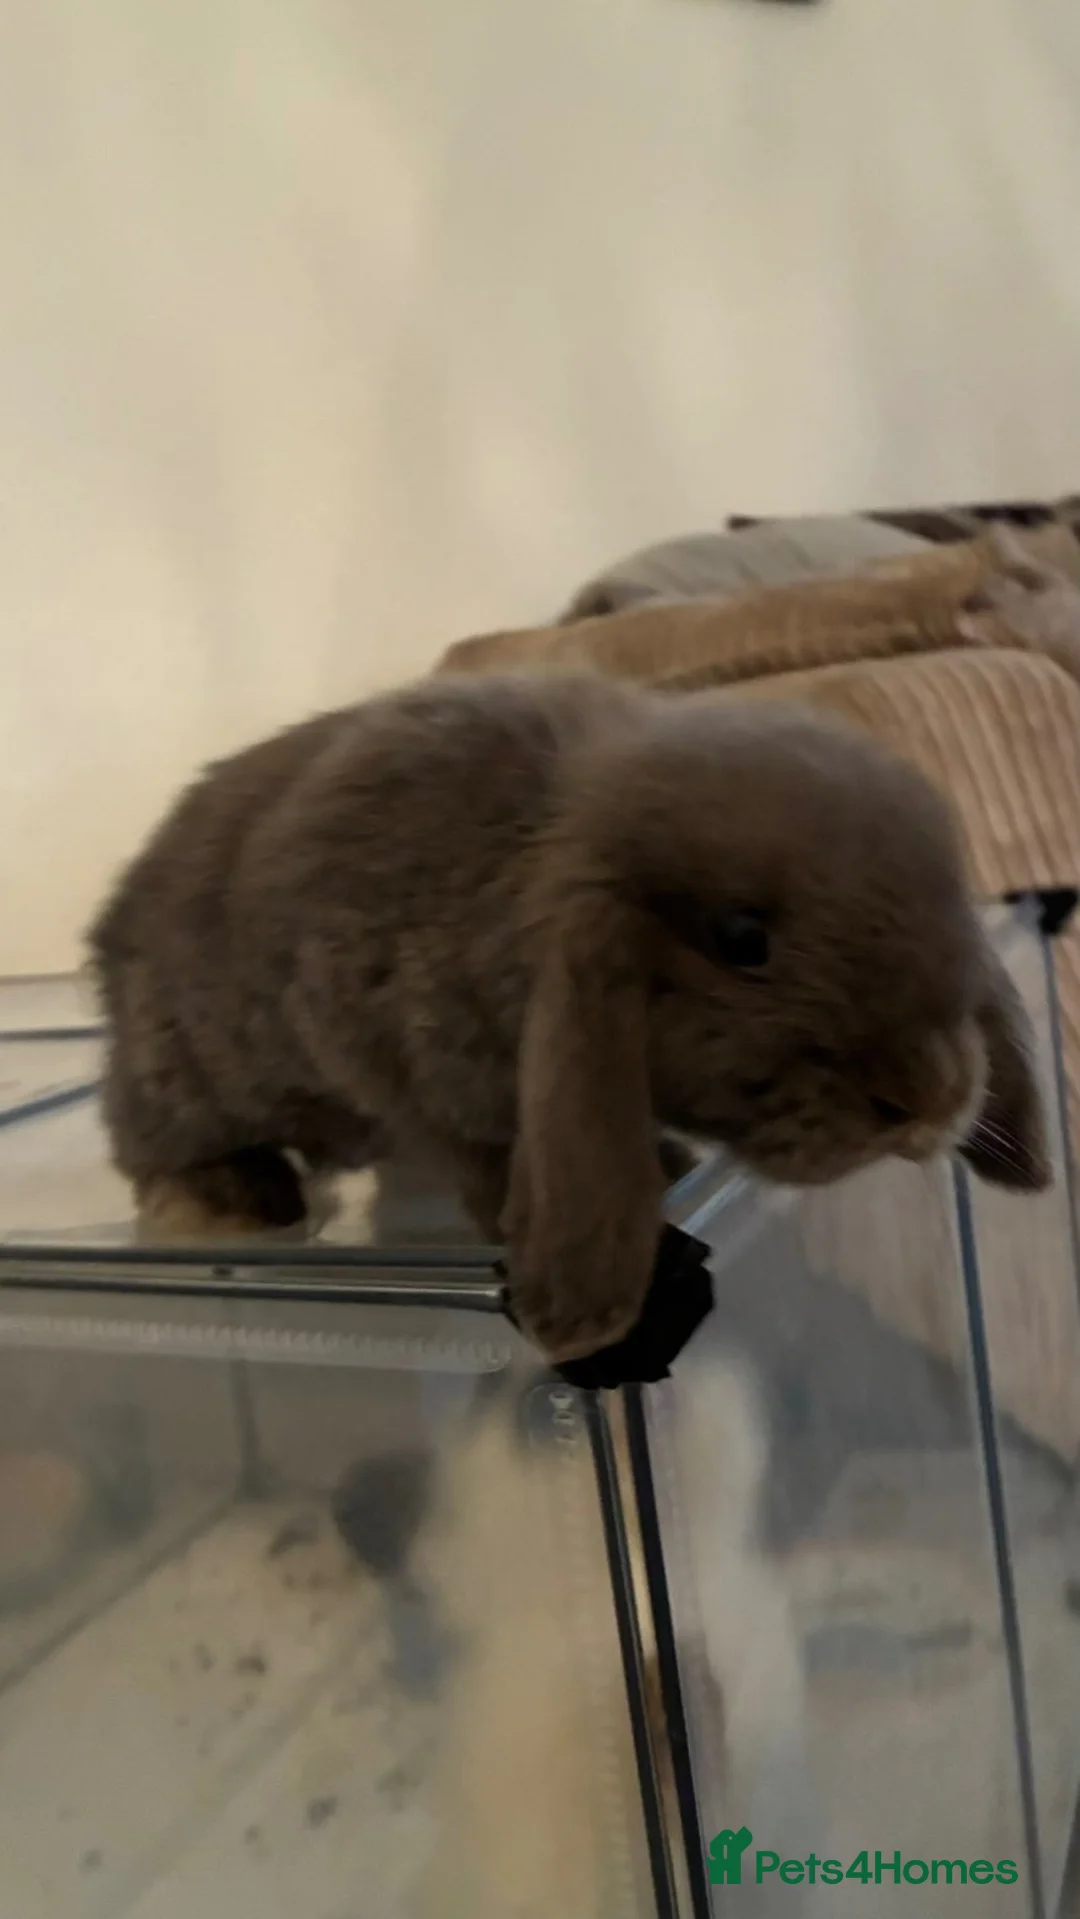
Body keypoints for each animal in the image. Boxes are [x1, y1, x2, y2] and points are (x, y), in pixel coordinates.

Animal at [88, 670, 1049, 1363]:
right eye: (742, 937)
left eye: (950, 893)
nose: (932, 1099)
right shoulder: (395, 1066)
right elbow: (479, 1156)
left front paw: (667, 1159)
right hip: (178, 1078)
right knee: (151, 1147)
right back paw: (228, 1200)